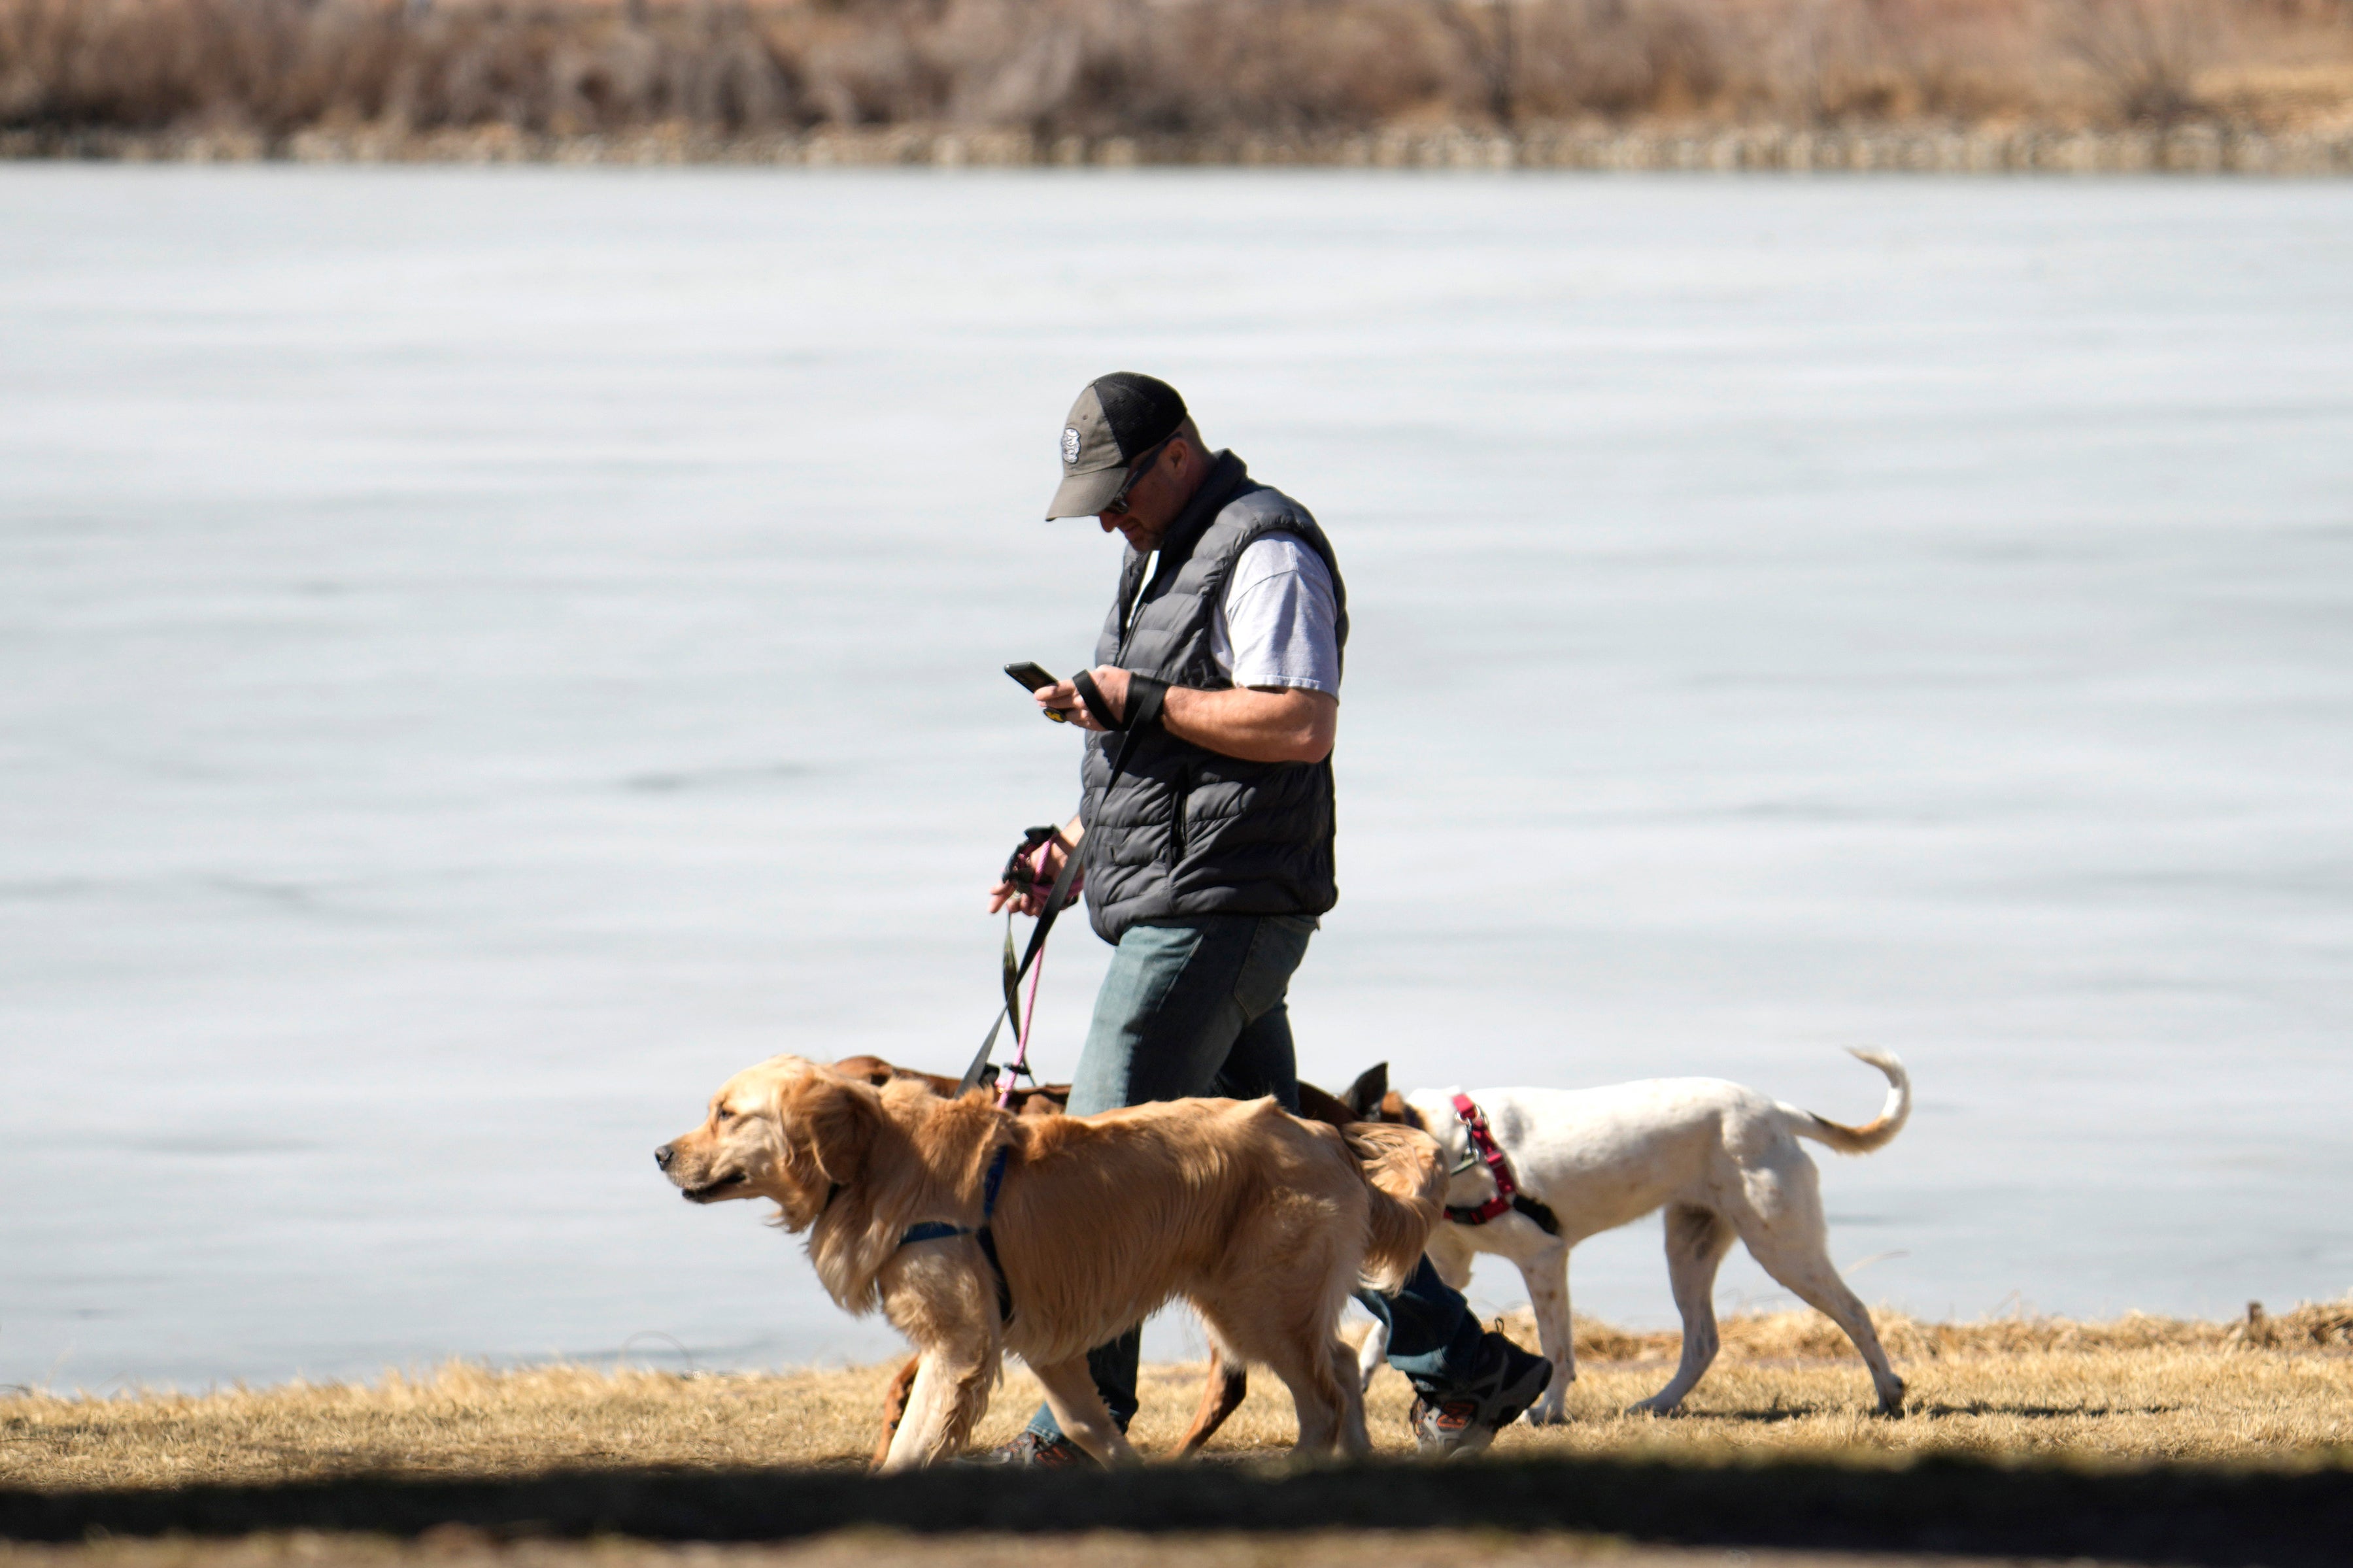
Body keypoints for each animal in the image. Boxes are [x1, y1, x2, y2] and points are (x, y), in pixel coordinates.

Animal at [1346, 1053, 1910, 1420]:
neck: (1454, 1144)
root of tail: (1776, 1110)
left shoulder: (1543, 1258)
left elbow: (1557, 1347)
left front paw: (1550, 1410)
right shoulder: (1447, 1267)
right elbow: (1381, 1334)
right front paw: (1356, 1383)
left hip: (1782, 1247)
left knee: (1855, 1312)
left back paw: (1888, 1393)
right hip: (1689, 1248)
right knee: (1702, 1341)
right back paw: (1659, 1403)